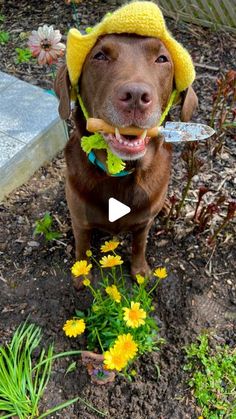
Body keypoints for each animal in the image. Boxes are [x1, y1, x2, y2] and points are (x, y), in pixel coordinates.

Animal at [54, 34, 197, 284]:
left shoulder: (144, 223)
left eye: (162, 59)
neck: (120, 174)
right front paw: (81, 276)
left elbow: (139, 244)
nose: (136, 97)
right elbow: (82, 247)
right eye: (100, 56)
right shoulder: (80, 221)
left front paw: (140, 272)